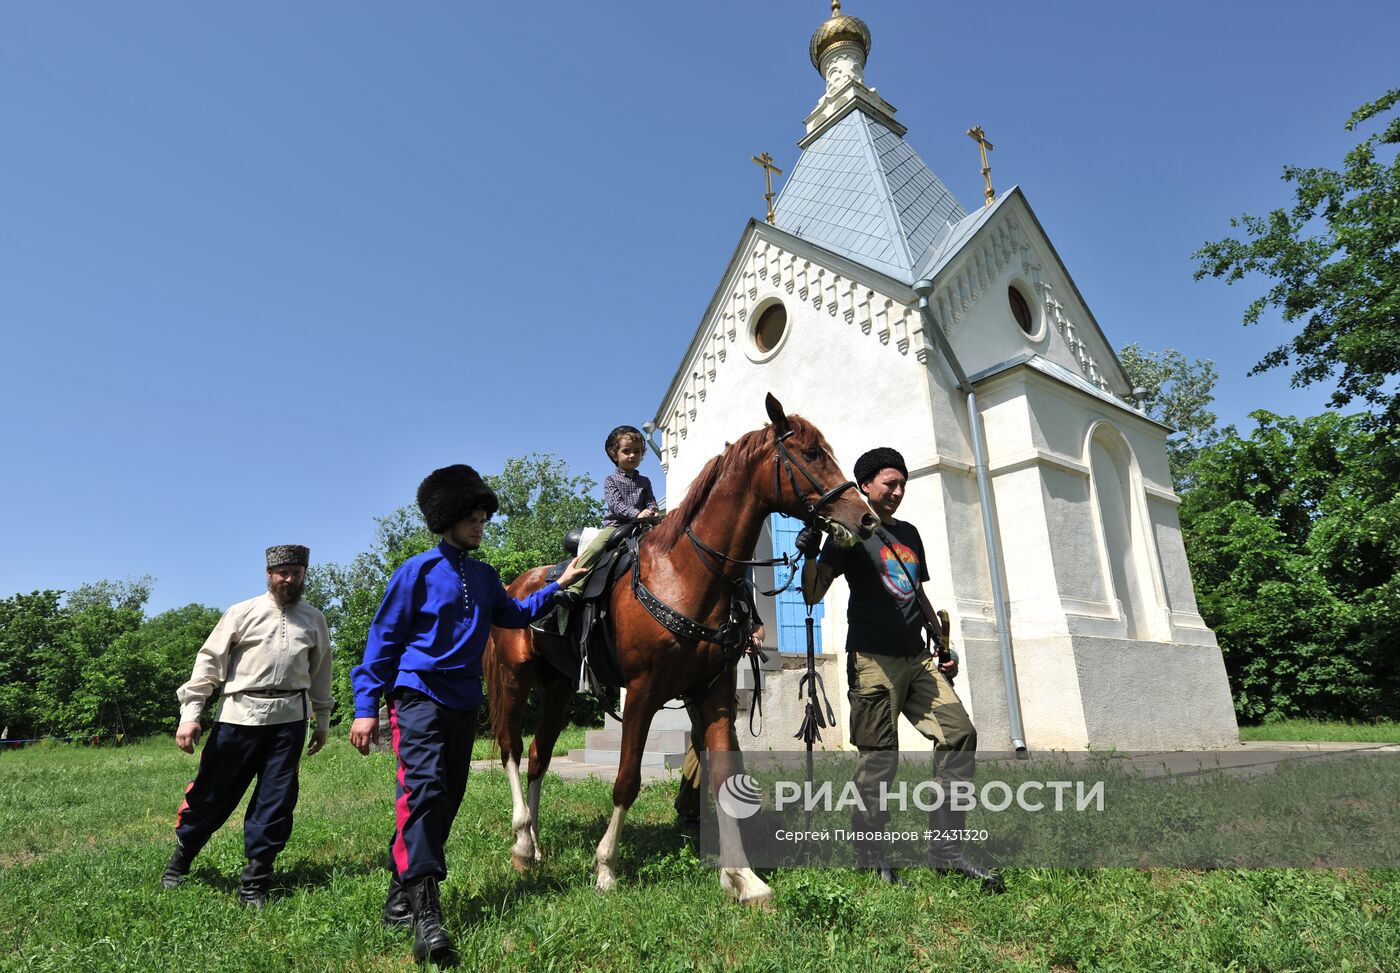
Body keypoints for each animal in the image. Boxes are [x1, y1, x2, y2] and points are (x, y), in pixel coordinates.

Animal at [487, 394, 868, 907]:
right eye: (810, 454)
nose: (865, 517)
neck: (687, 573)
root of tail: (515, 586)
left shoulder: (715, 695)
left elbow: (724, 780)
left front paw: (743, 878)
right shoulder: (643, 693)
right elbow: (626, 781)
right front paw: (606, 867)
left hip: (560, 688)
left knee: (537, 755)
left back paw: (534, 846)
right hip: (515, 677)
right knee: (510, 746)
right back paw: (522, 840)